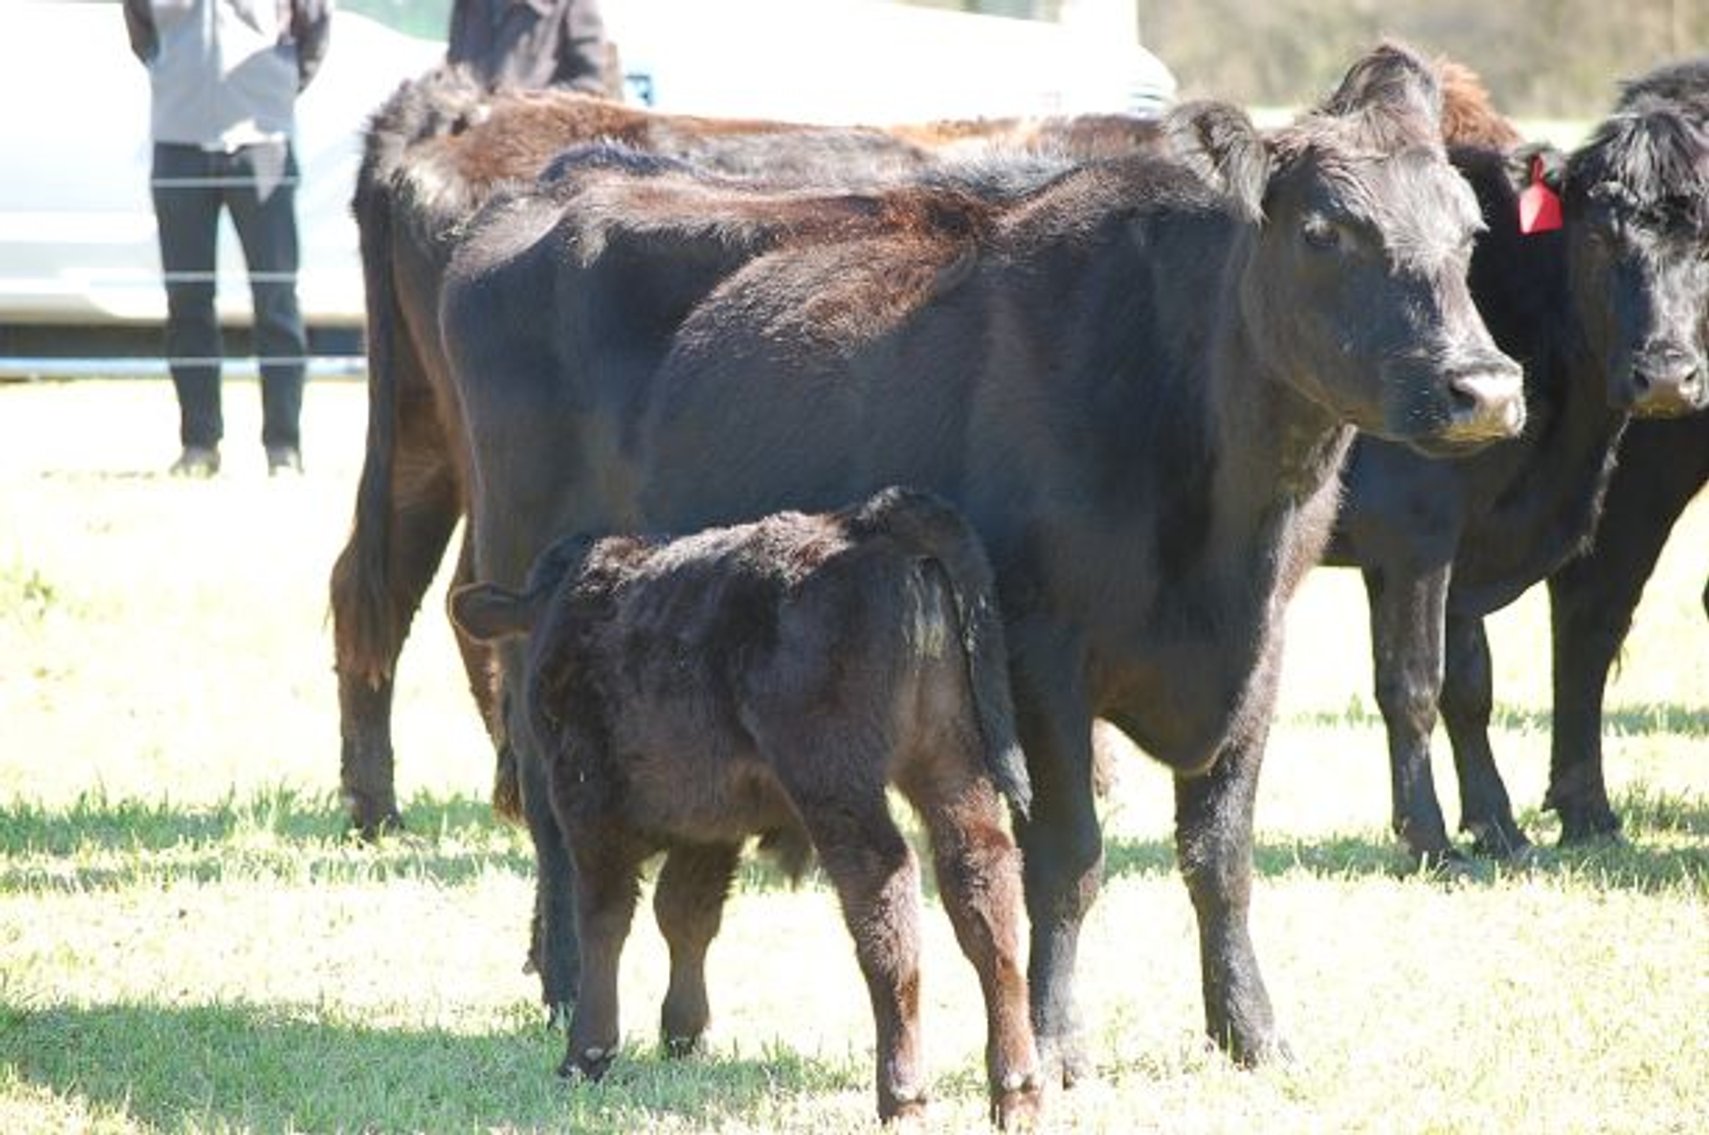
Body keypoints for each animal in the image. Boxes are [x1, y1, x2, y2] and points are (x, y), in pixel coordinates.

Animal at [449, 487, 1041, 1126]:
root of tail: (863, 524)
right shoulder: (710, 823)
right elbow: (686, 912)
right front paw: (684, 1033)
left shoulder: (588, 803)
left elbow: (606, 919)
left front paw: (588, 1052)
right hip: (952, 757)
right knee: (982, 879)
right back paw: (1017, 1089)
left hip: (834, 775)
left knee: (886, 887)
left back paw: (902, 1092)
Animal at [1325, 56, 1708, 865]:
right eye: (1598, 238)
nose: (1663, 376)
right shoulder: (1412, 535)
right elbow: (1412, 683)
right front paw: (1431, 839)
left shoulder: (1466, 543)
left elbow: (1469, 685)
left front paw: (1498, 826)